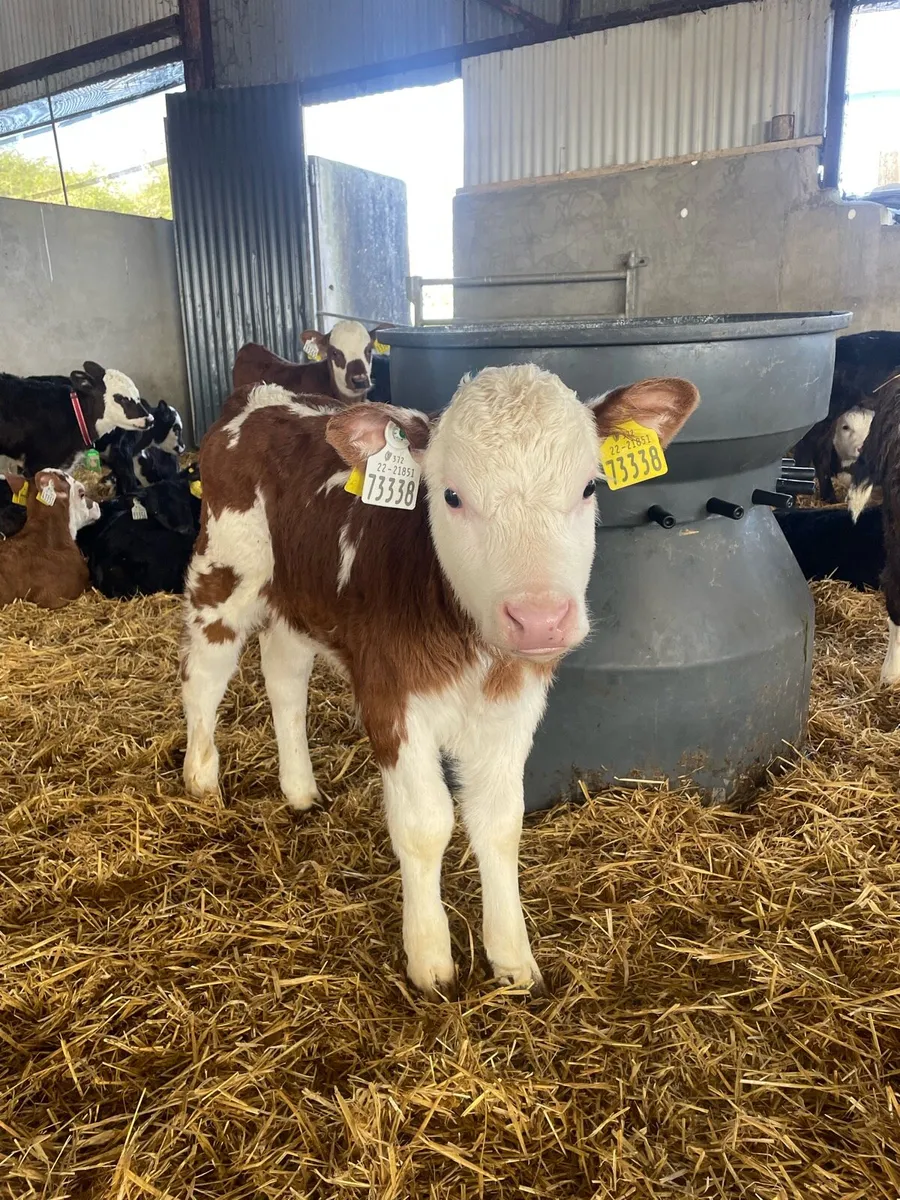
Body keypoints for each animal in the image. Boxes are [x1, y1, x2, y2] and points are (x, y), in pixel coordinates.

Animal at [180, 365, 700, 996]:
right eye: (451, 495)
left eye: (588, 489)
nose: (539, 618)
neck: (474, 651)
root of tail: (264, 396)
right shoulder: (391, 698)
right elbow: (426, 824)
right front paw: (430, 960)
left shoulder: (515, 705)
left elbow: (499, 822)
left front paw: (512, 958)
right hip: (224, 571)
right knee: (204, 676)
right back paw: (201, 778)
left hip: (298, 598)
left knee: (284, 676)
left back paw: (299, 789)